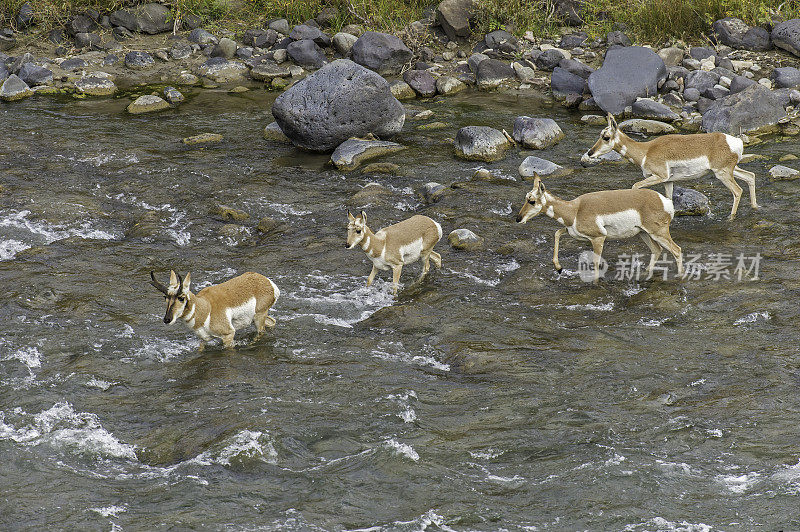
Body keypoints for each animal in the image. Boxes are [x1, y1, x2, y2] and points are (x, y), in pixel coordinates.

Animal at [148, 270, 280, 350]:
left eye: (181, 298)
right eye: (165, 297)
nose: (167, 319)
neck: (205, 308)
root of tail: (268, 282)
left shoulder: (228, 335)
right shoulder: (202, 339)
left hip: (259, 316)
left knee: (261, 332)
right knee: (272, 322)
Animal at [520, 177, 680, 280]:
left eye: (532, 201)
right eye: (526, 198)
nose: (518, 218)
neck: (575, 210)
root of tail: (665, 200)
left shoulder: (598, 238)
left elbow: (596, 262)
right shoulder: (572, 232)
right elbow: (557, 233)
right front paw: (558, 268)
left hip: (657, 233)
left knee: (676, 250)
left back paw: (680, 276)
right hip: (643, 233)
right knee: (657, 250)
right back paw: (645, 274)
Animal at [584, 113, 760, 219]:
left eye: (606, 137)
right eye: (600, 135)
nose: (590, 153)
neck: (646, 150)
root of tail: (735, 141)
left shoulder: (660, 176)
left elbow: (635, 186)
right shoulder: (668, 181)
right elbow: (668, 200)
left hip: (722, 173)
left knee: (738, 191)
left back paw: (731, 218)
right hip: (731, 170)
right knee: (750, 176)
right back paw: (755, 207)